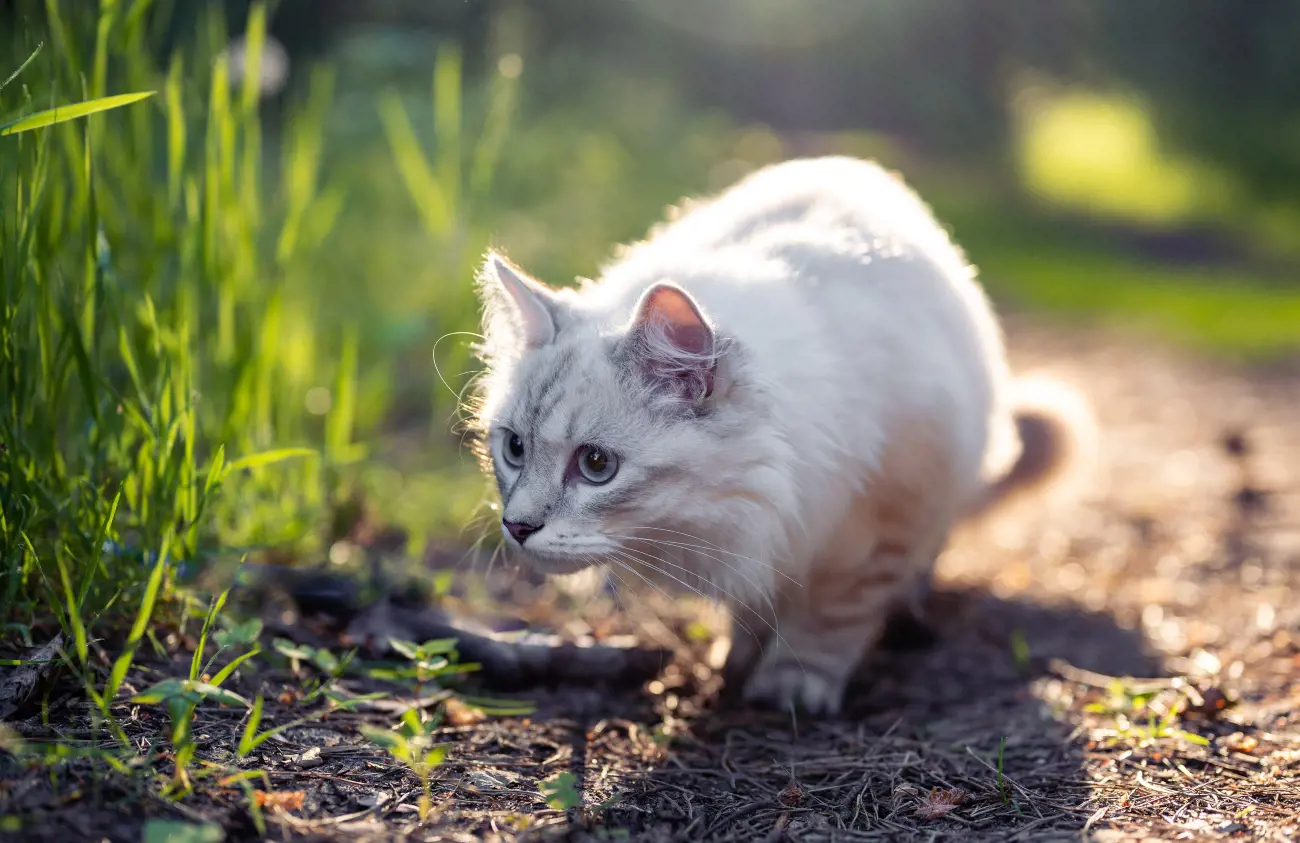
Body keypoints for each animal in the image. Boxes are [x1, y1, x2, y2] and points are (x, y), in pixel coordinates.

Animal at [467, 156, 1086, 712]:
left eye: (596, 465)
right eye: (514, 449)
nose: (517, 527)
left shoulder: (880, 522)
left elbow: (830, 618)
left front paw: (792, 685)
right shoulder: (764, 535)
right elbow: (757, 606)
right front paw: (739, 659)